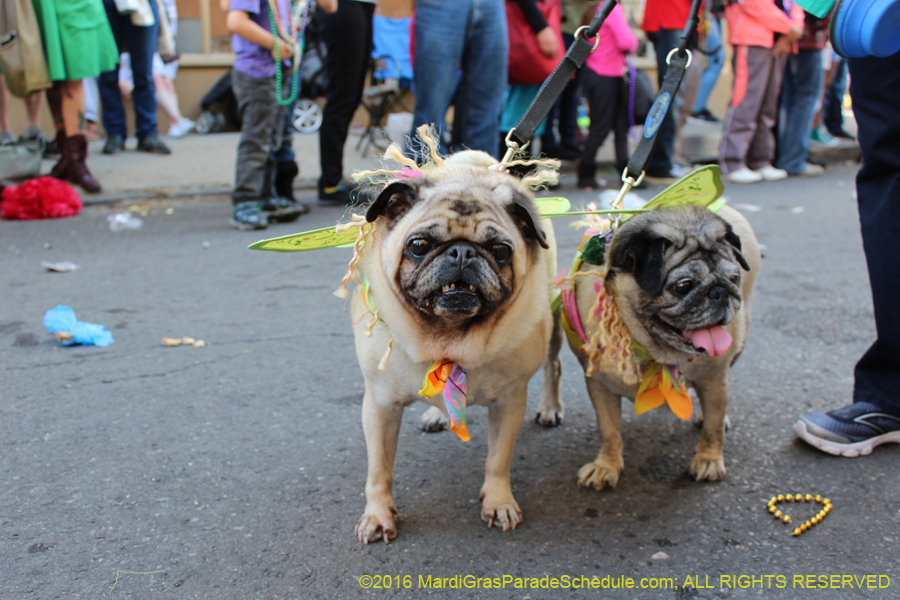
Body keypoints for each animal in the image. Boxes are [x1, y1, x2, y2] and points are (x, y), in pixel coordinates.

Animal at [540, 205, 760, 488]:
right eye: (683, 285)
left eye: (734, 277)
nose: (721, 291)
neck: (651, 348)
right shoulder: (600, 385)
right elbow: (609, 431)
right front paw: (607, 465)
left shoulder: (714, 379)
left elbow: (712, 428)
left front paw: (709, 460)